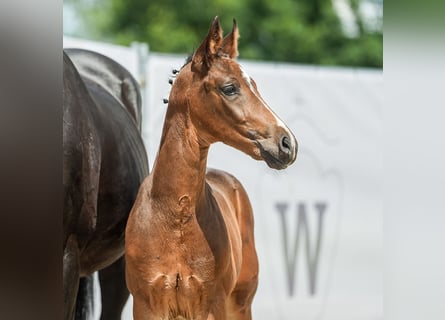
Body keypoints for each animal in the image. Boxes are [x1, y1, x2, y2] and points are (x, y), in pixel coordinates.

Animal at [125, 17, 296, 320]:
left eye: (255, 85)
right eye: (229, 88)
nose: (287, 143)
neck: (174, 219)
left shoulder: (210, 305)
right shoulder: (146, 306)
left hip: (240, 302)